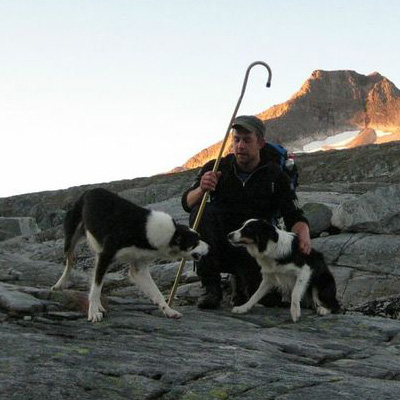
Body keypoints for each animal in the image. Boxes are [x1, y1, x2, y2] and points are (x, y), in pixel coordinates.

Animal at [52, 189, 209, 324]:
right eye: (196, 241)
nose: (210, 247)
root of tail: (88, 191)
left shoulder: (138, 268)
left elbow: (156, 292)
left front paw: (169, 311)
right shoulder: (106, 255)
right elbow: (95, 288)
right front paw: (93, 313)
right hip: (71, 240)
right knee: (70, 263)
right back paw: (60, 284)